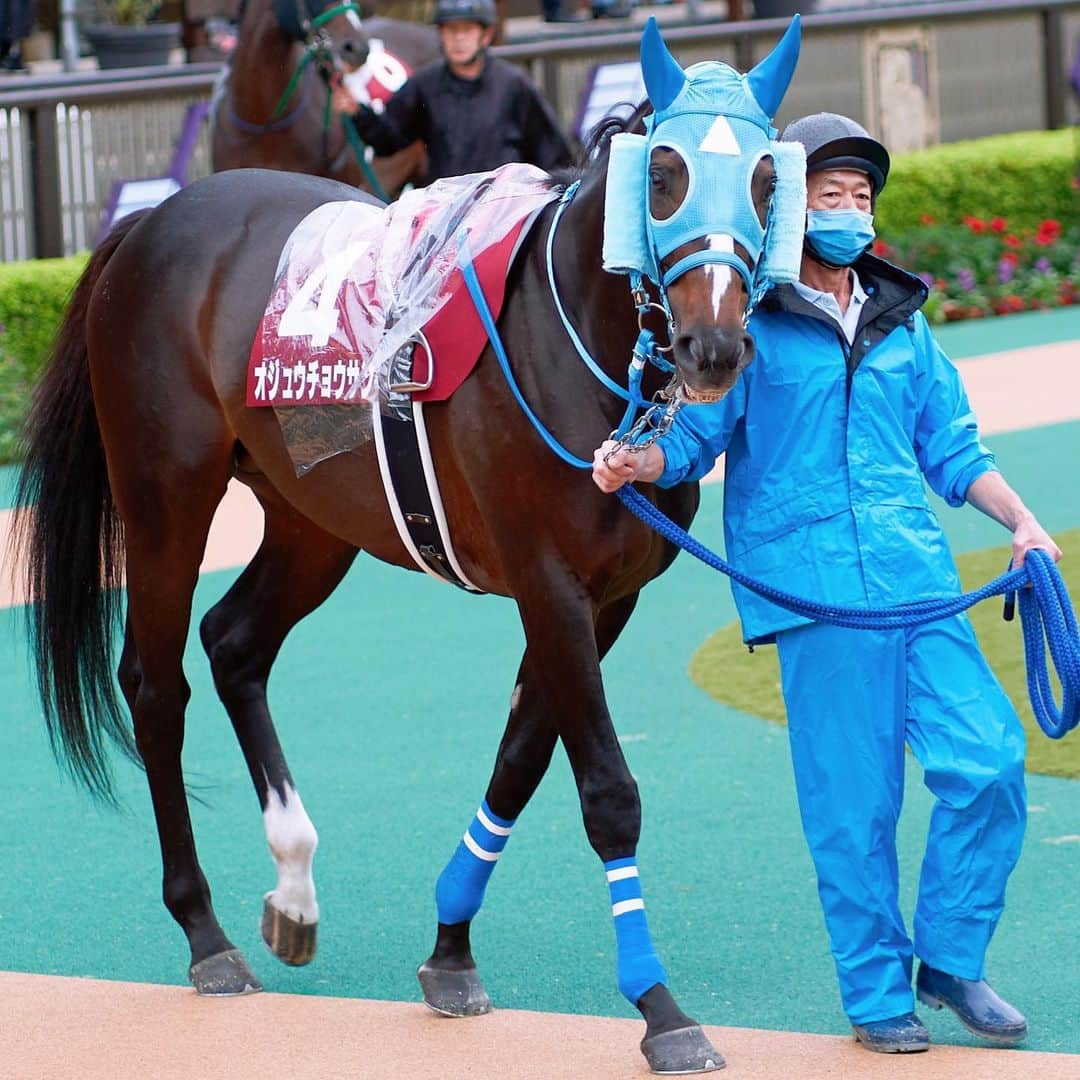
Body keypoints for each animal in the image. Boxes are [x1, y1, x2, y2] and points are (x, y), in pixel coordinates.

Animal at [12, 21, 799, 1075]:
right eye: (665, 172)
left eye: (766, 177)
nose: (714, 347)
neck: (579, 353)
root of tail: (151, 223)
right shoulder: (549, 583)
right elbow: (605, 789)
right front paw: (660, 1007)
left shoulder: (606, 598)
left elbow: (519, 759)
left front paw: (450, 950)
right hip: (164, 494)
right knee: (154, 681)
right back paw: (205, 932)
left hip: (312, 515)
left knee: (235, 643)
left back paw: (293, 889)